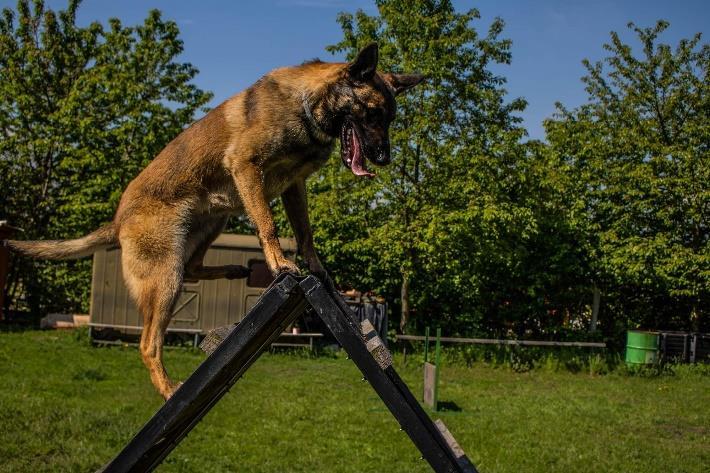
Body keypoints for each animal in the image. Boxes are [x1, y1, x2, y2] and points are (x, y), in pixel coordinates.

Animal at [4, 43, 422, 398]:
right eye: (372, 114)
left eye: (389, 118)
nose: (384, 158)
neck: (306, 107)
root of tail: (118, 219)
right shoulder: (247, 166)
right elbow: (269, 226)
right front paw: (280, 264)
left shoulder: (294, 186)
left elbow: (305, 234)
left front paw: (316, 270)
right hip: (165, 275)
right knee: (149, 342)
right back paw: (168, 389)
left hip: (213, 224)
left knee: (194, 266)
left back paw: (236, 270)